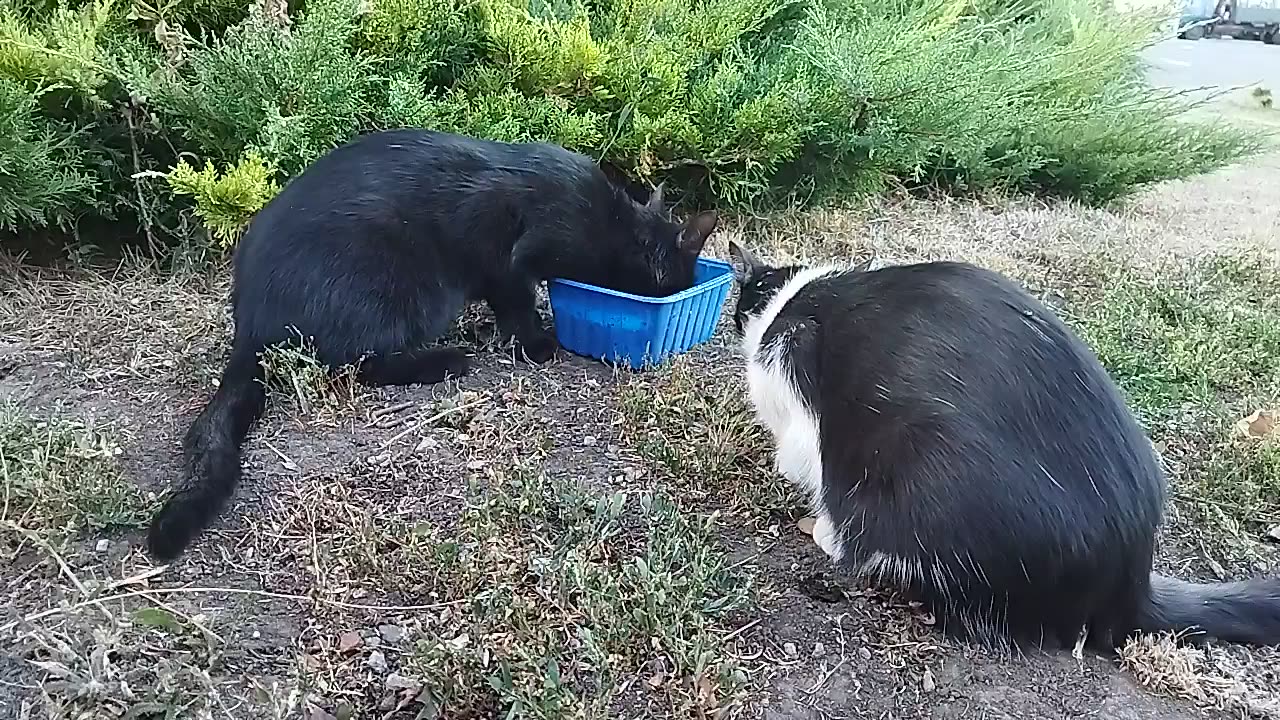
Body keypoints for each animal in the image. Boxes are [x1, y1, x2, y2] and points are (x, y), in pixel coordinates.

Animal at [147, 128, 721, 561]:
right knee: (355, 363)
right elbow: (517, 301)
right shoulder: (508, 260)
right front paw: (538, 343)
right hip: (408, 292)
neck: (611, 223)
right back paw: (446, 360)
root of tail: (247, 323)